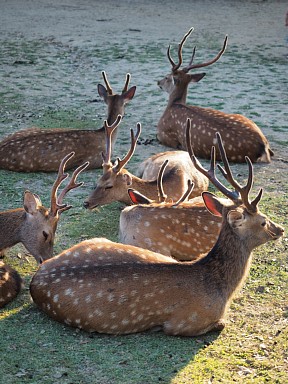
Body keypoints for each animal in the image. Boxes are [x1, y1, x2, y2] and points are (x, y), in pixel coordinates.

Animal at [28, 121, 284, 336]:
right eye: (263, 221)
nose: (280, 229)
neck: (220, 290)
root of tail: (35, 278)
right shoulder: (184, 323)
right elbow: (220, 324)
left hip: (95, 240)